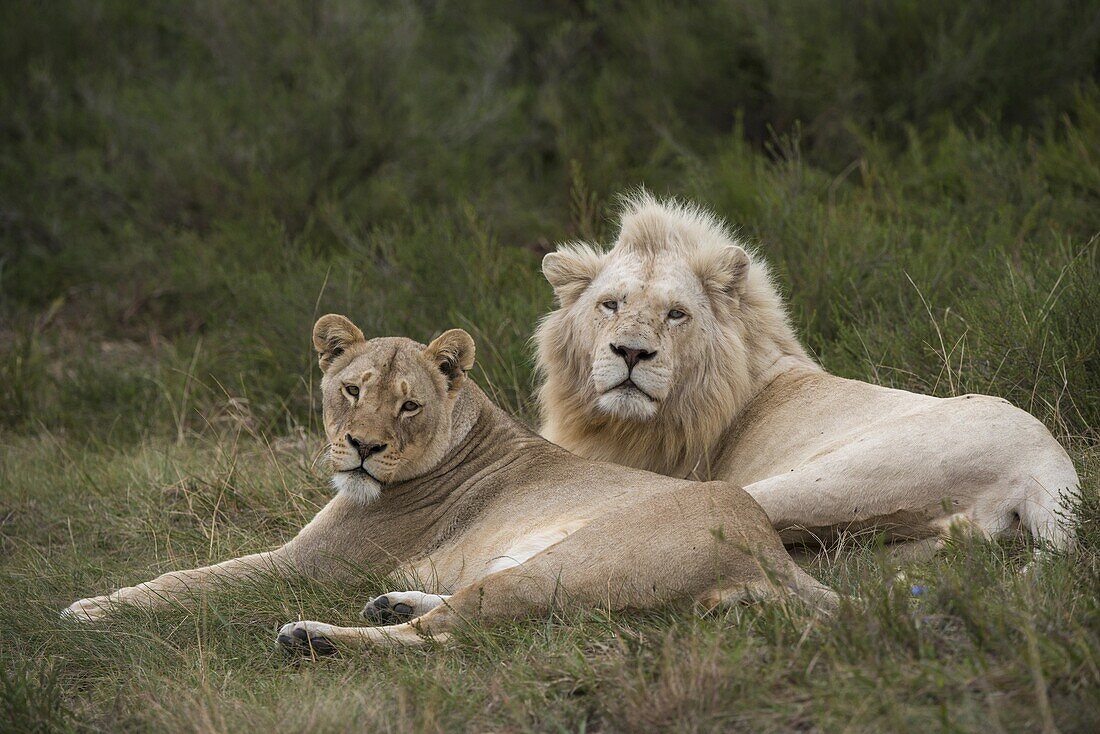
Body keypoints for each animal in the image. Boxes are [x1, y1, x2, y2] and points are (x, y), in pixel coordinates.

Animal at [62, 314, 831, 647]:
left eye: (408, 405)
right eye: (351, 389)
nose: (362, 448)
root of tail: (767, 550)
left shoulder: (305, 563)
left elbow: (190, 579)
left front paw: (90, 608)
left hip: (570, 564)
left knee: (443, 637)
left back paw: (316, 636)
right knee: (451, 610)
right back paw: (389, 603)